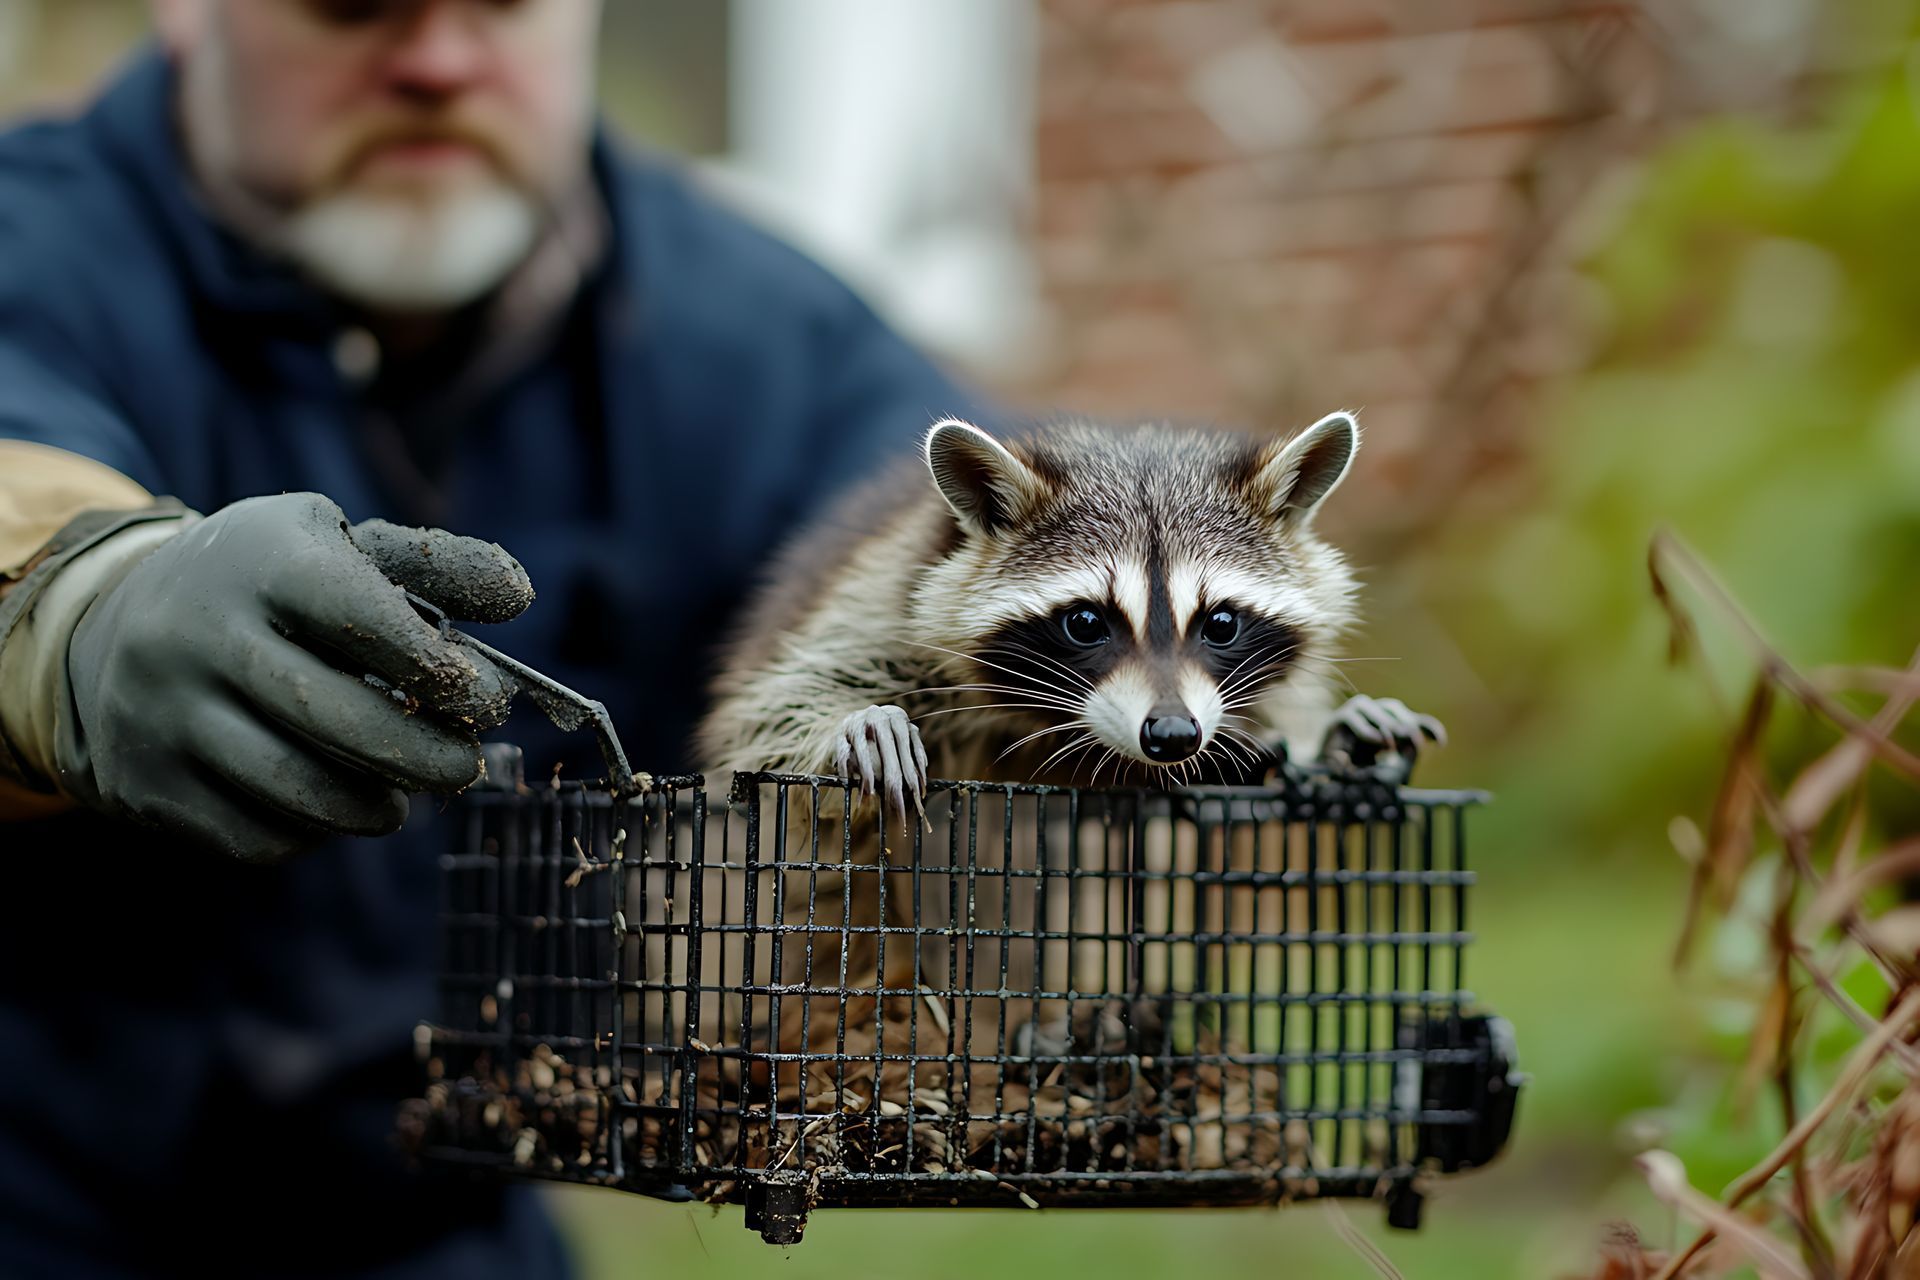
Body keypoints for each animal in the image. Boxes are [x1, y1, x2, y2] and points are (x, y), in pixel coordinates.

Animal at [697, 410, 1442, 807]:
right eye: (1085, 623)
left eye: (1222, 623)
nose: (1174, 736)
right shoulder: (887, 596)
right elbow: (774, 710)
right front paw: (850, 720)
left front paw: (1336, 734)